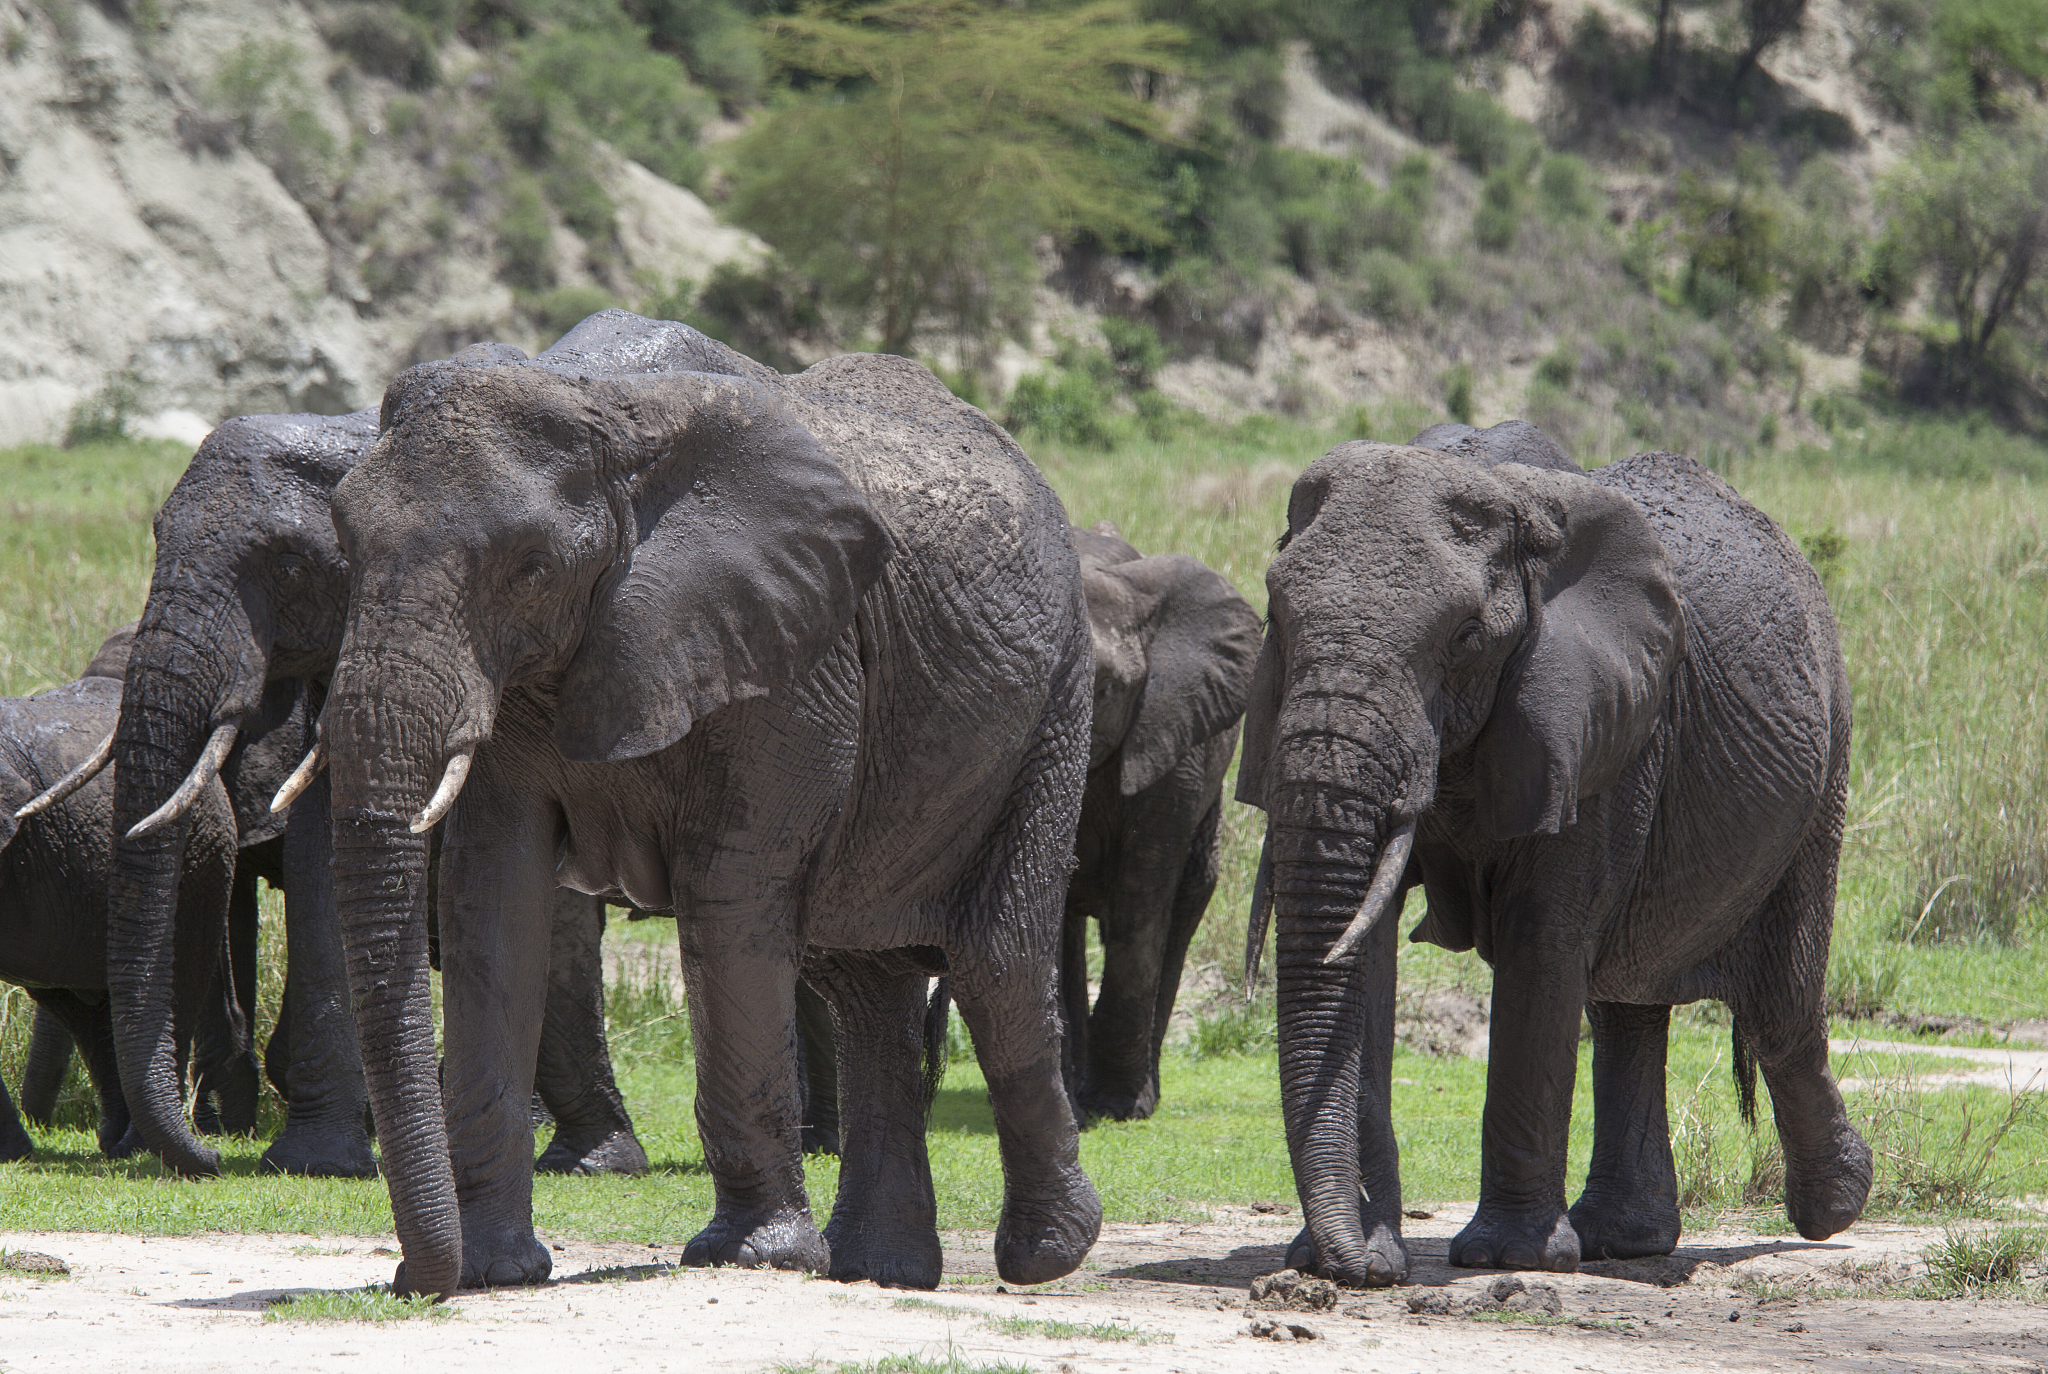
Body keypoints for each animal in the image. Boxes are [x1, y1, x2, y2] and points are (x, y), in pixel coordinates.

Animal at [305, 310, 1100, 1298]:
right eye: (343, 544)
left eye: (532, 568)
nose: (416, 1284)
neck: (599, 406)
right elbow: (493, 897)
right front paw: (497, 1271)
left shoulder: (799, 653)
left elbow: (729, 890)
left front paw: (754, 1257)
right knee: (861, 983)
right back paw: (880, 1271)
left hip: (1054, 701)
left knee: (996, 963)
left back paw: (1045, 1254)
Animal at [1236, 418, 1871, 1286]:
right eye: (1277, 614)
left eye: (1466, 638)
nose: (1358, 1272)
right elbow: (1366, 948)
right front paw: (1356, 1251)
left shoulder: (1595, 722)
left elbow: (1541, 938)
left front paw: (1508, 1257)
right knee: (1625, 1002)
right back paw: (1625, 1240)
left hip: (1826, 758)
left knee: (1779, 1011)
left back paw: (1834, 1206)